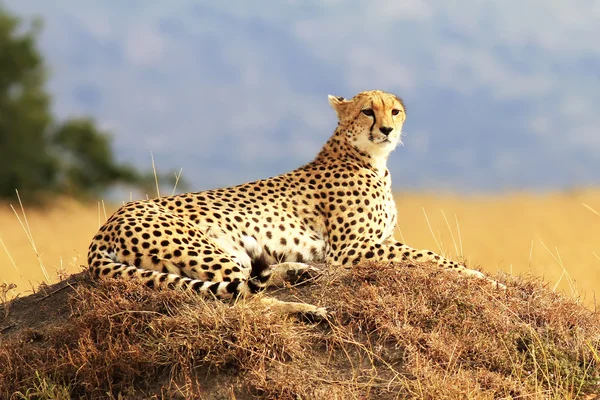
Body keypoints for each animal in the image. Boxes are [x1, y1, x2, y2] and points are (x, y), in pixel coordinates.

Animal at [86, 90, 504, 318]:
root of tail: (105, 225)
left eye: (394, 111)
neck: (369, 157)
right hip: (202, 248)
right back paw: (308, 309)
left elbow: (429, 255)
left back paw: (298, 274)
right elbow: (431, 256)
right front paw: (485, 279)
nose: (386, 129)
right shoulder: (353, 250)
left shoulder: (368, 245)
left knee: (248, 282)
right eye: (368, 111)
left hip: (229, 252)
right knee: (241, 298)